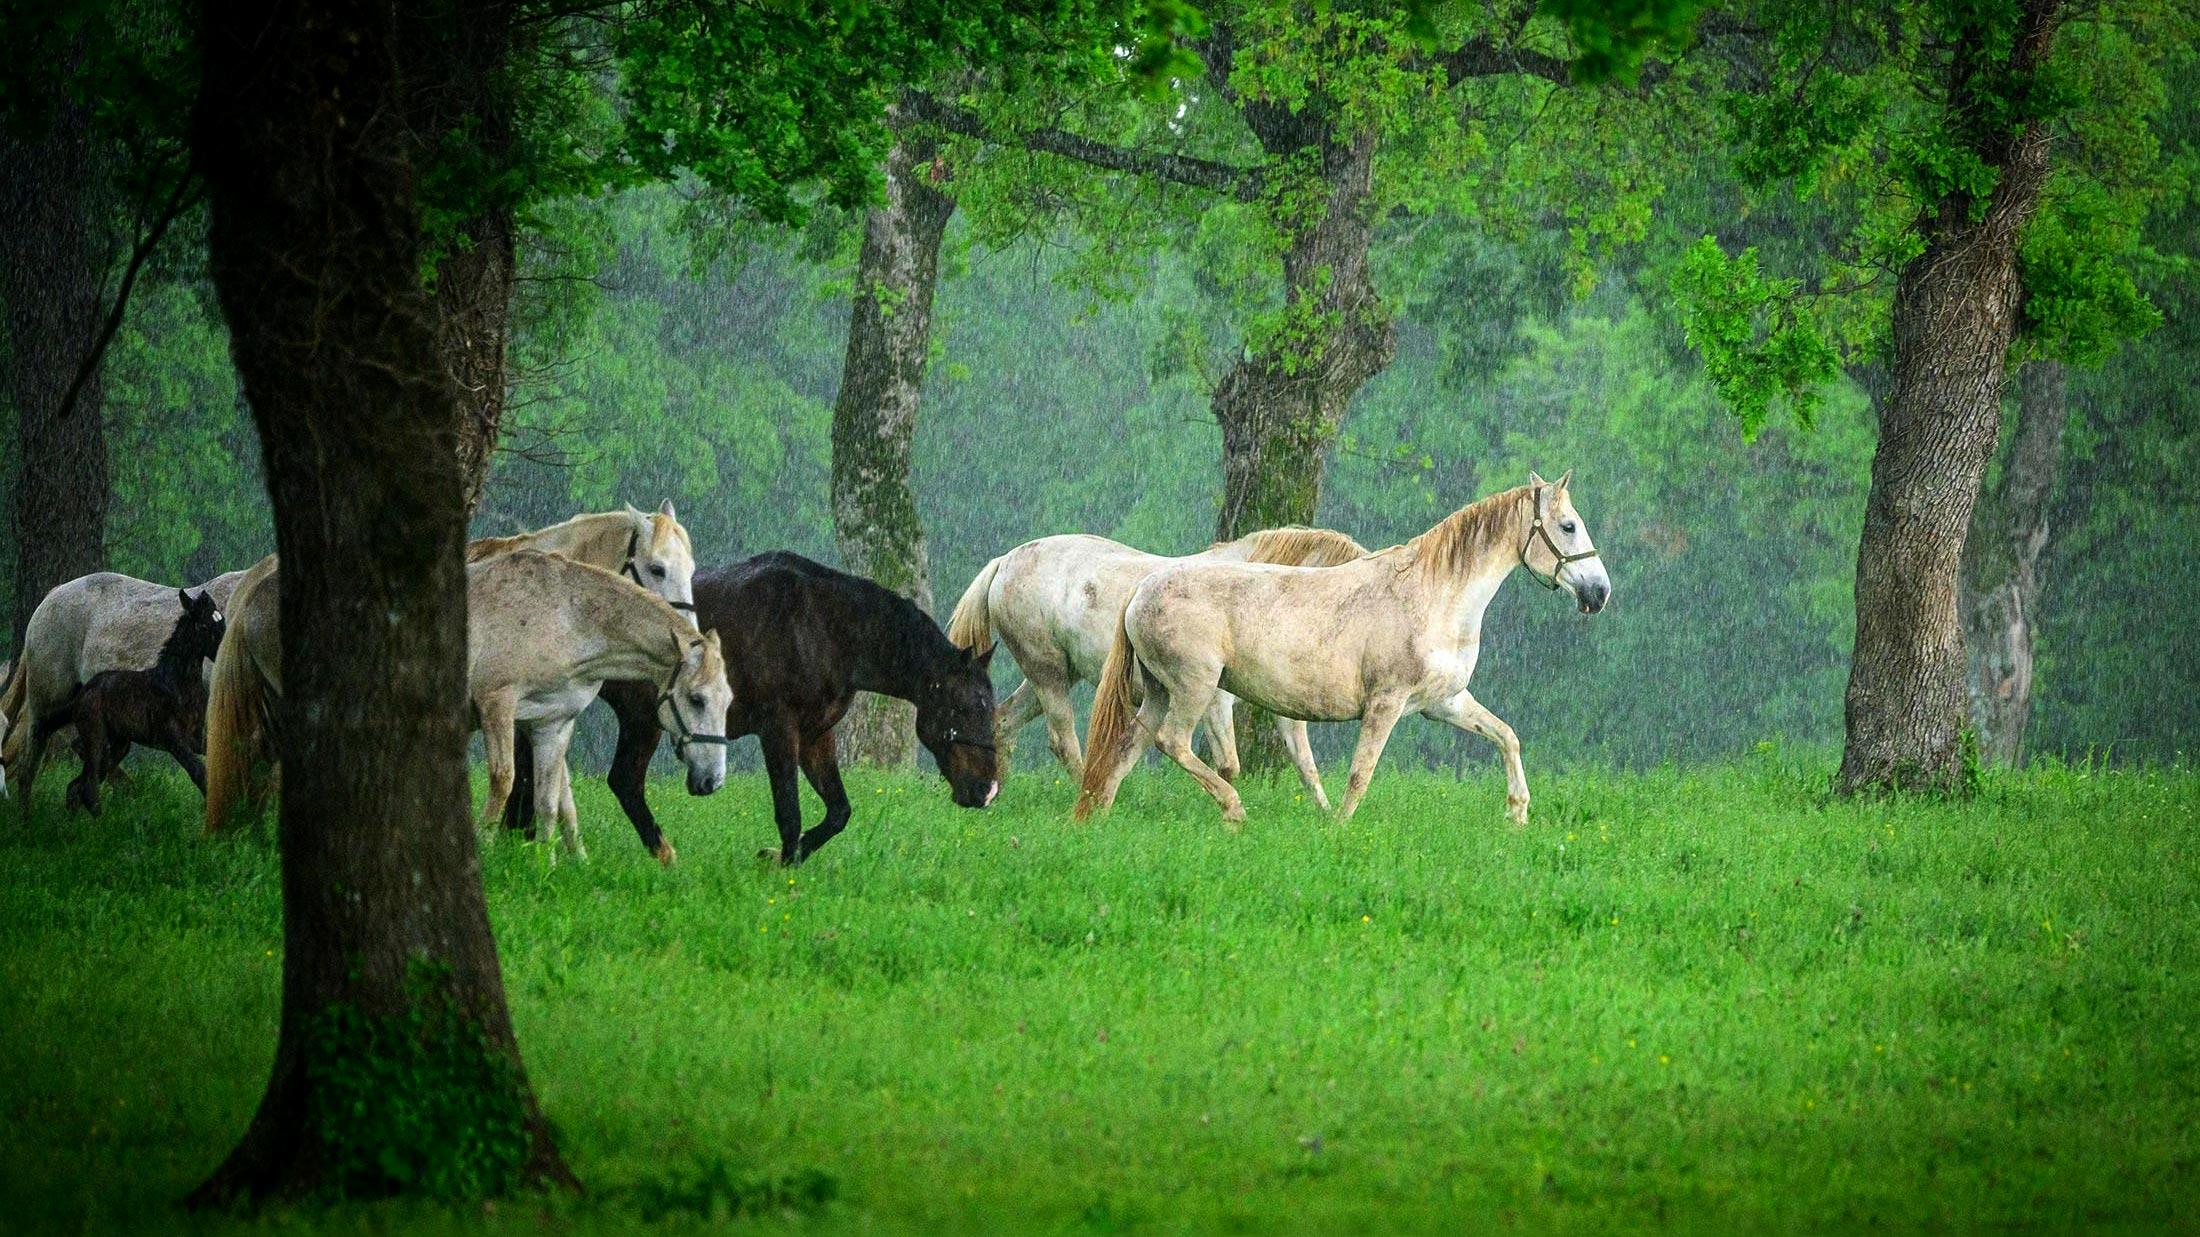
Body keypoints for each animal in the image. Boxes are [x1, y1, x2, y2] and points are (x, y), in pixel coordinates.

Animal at [204, 548, 730, 858]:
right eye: (696, 698)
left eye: (727, 701)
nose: (711, 781)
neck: (566, 615)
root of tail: (255, 596)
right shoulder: (498, 706)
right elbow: (503, 782)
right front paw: (487, 850)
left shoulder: (553, 723)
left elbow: (547, 801)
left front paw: (545, 865)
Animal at [506, 548, 998, 858]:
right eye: (967, 707)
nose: (986, 790)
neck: (824, 626)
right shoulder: (778, 732)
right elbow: (790, 814)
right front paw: (782, 865)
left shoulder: (816, 736)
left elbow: (838, 813)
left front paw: (782, 857)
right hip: (640, 719)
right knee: (621, 782)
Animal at [941, 521, 1364, 801]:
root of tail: (1003, 562)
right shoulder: (1215, 701)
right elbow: (1228, 764)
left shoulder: (1283, 709)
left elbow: (1305, 766)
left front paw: (1328, 820)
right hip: (1048, 673)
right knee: (1061, 739)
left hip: (1049, 674)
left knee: (1003, 722)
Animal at [1073, 471, 1610, 827]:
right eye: (1568, 526)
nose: (1599, 592)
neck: (1433, 595)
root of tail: (1142, 590)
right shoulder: (1385, 704)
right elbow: (1360, 774)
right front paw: (1339, 829)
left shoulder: (1444, 703)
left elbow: (1507, 737)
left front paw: (1517, 814)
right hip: (1194, 688)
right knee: (1173, 743)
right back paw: (1233, 810)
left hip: (1159, 692)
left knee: (1127, 748)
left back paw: (1096, 820)